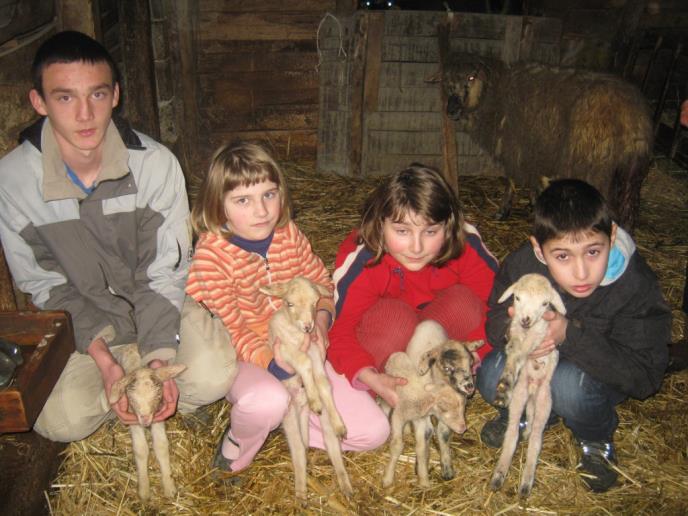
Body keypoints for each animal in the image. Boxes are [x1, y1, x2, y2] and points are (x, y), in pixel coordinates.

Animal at [108, 347, 187, 502]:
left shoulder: (157, 416)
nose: (145, 420)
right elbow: (141, 449)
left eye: (157, 396)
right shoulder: (133, 417)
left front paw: (169, 486)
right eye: (132, 399)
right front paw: (144, 490)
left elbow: (161, 446)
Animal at [259, 276, 353, 502]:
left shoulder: (315, 351)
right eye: (289, 303)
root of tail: (300, 406)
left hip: (315, 423)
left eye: (315, 302)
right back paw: (301, 492)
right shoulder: (285, 350)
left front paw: (326, 409)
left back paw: (345, 485)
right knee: (299, 452)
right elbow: (304, 364)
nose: (309, 327)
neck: (295, 333)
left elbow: (323, 384)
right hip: (289, 417)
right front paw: (314, 398)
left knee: (329, 446)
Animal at [382, 320, 482, 488]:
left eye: (471, 363)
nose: (469, 387)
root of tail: (429, 321)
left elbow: (442, 434)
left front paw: (446, 468)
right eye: (447, 367)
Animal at [436, 53, 653, 232]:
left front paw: (503, 211)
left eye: (471, 78)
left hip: (592, 164)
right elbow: (535, 177)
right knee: (629, 208)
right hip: (632, 170)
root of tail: (629, 115)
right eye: (447, 82)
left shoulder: (515, 145)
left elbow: (511, 178)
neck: (495, 94)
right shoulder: (535, 148)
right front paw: (534, 204)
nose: (451, 110)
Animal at [488, 273, 566, 497]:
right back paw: (499, 475)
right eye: (517, 298)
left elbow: (526, 348)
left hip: (544, 402)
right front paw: (505, 381)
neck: (526, 330)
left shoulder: (541, 334)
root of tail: (532, 388)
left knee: (536, 441)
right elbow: (514, 350)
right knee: (513, 432)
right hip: (519, 397)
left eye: (545, 303)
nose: (526, 319)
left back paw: (525, 483)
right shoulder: (514, 329)